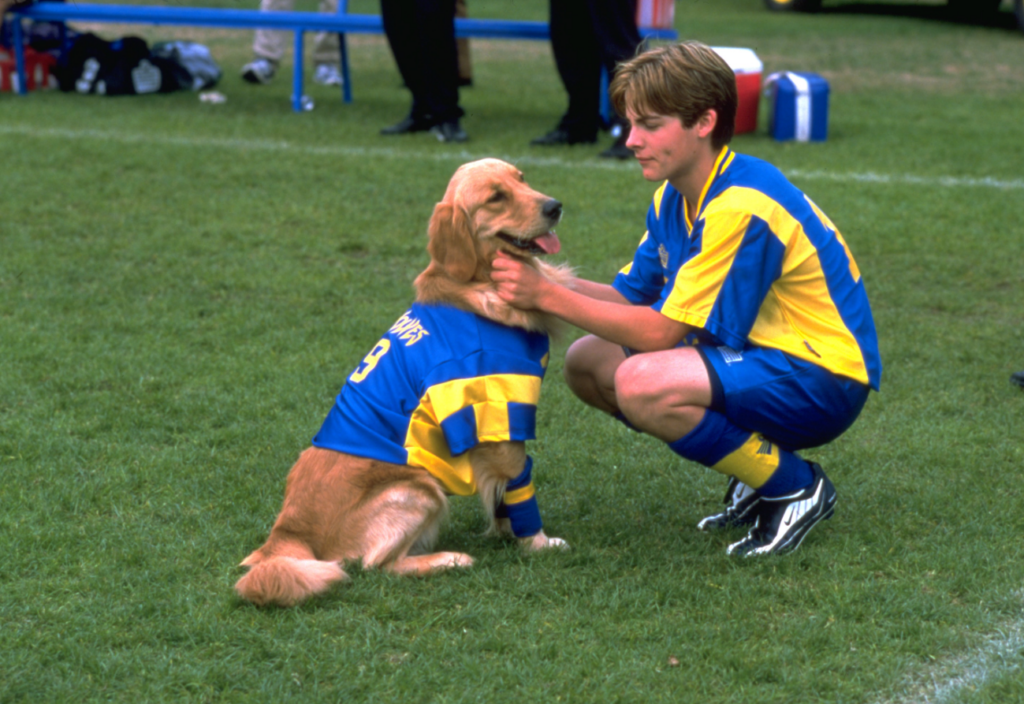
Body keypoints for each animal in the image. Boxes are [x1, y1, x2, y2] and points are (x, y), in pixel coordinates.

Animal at [235, 158, 577, 605]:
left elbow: (500, 494)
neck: (476, 285)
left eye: (522, 180)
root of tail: (287, 532)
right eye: (496, 197)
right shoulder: (501, 412)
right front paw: (536, 543)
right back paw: (449, 559)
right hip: (417, 487)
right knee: (376, 565)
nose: (555, 206)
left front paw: (505, 531)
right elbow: (520, 483)